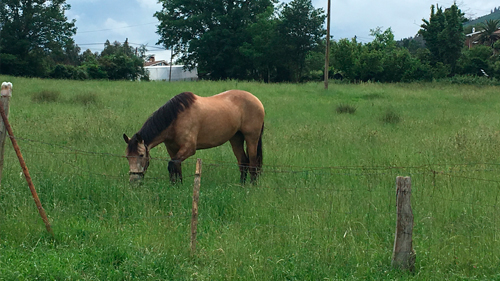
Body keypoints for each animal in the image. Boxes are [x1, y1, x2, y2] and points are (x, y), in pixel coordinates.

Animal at [124, 89, 266, 184]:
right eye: (127, 157)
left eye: (141, 155)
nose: (133, 181)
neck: (176, 118)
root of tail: (257, 100)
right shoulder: (172, 149)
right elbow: (176, 167)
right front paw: (177, 186)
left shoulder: (189, 148)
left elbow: (172, 165)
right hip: (236, 138)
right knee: (243, 162)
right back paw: (241, 186)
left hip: (252, 138)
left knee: (253, 163)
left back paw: (251, 187)